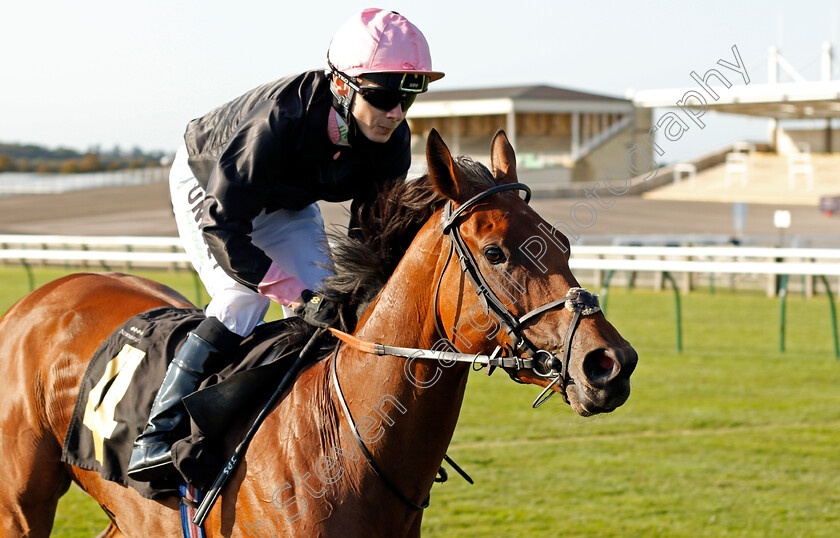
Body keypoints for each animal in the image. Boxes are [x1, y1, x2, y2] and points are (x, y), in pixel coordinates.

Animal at [0, 129, 636, 532]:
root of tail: (36, 299)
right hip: (20, 504)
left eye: (562, 241)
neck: (340, 446)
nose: (610, 363)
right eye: (497, 251)